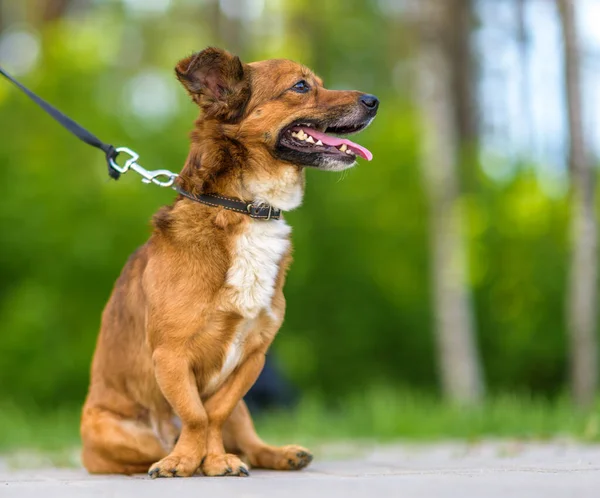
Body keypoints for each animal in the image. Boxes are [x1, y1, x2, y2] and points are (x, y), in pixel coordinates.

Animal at [80, 47, 380, 478]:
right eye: (301, 86)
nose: (374, 101)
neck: (246, 208)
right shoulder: (170, 356)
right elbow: (195, 415)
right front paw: (187, 460)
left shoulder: (253, 356)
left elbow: (215, 413)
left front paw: (215, 458)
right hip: (114, 431)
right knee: (150, 445)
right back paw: (165, 457)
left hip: (242, 411)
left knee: (249, 441)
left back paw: (280, 454)